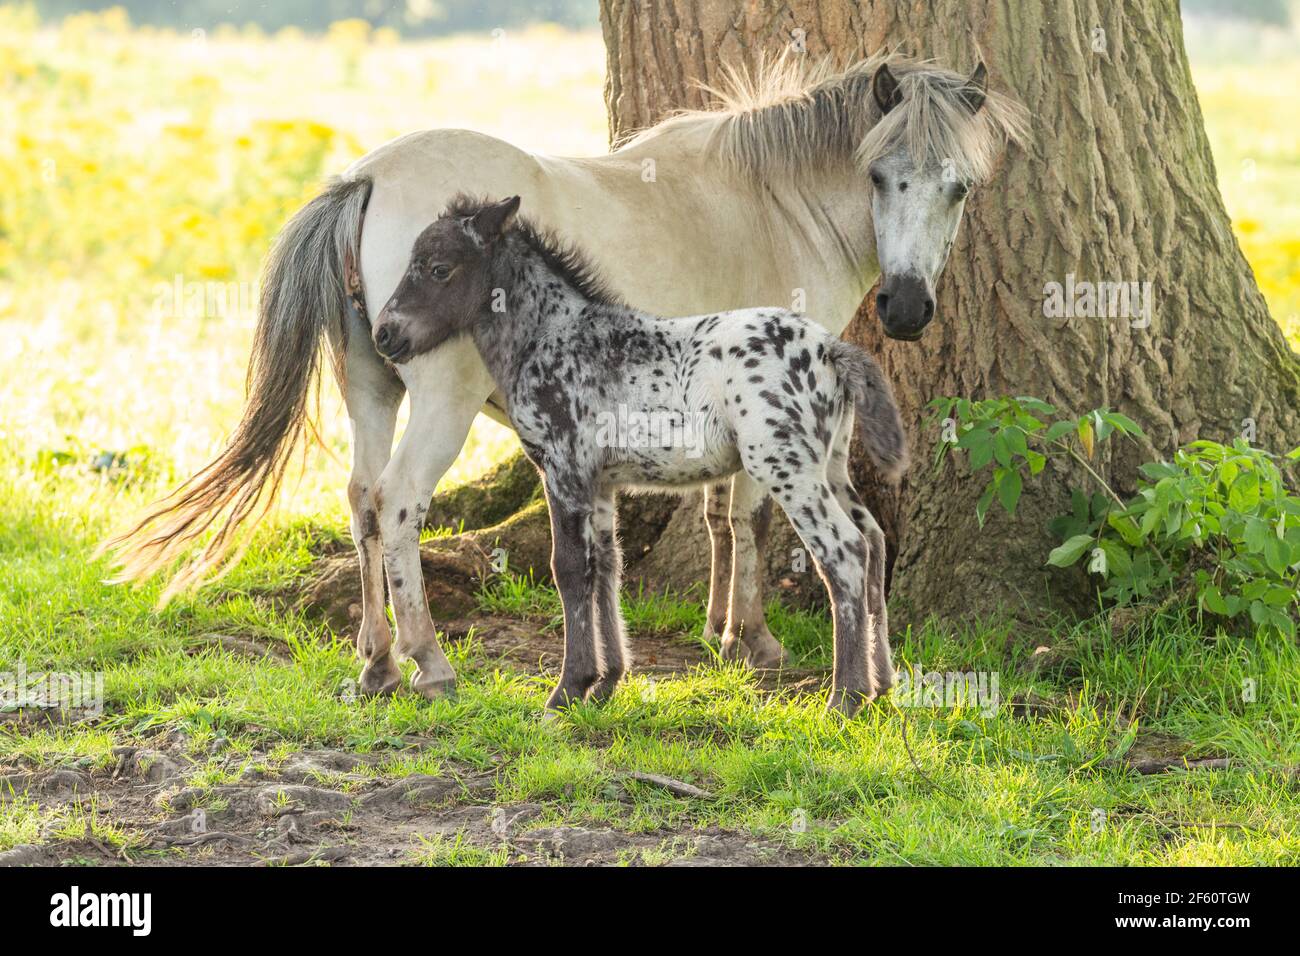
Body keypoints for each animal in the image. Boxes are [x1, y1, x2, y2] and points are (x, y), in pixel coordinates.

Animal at [106, 54, 1024, 702]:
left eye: (958, 187)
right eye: (879, 176)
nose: (907, 309)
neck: (767, 201)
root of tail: (365, 178)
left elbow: (717, 516)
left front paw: (718, 632)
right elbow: (748, 517)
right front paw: (750, 640)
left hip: (371, 389)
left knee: (362, 502)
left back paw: (376, 661)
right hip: (440, 404)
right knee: (399, 504)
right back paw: (429, 662)